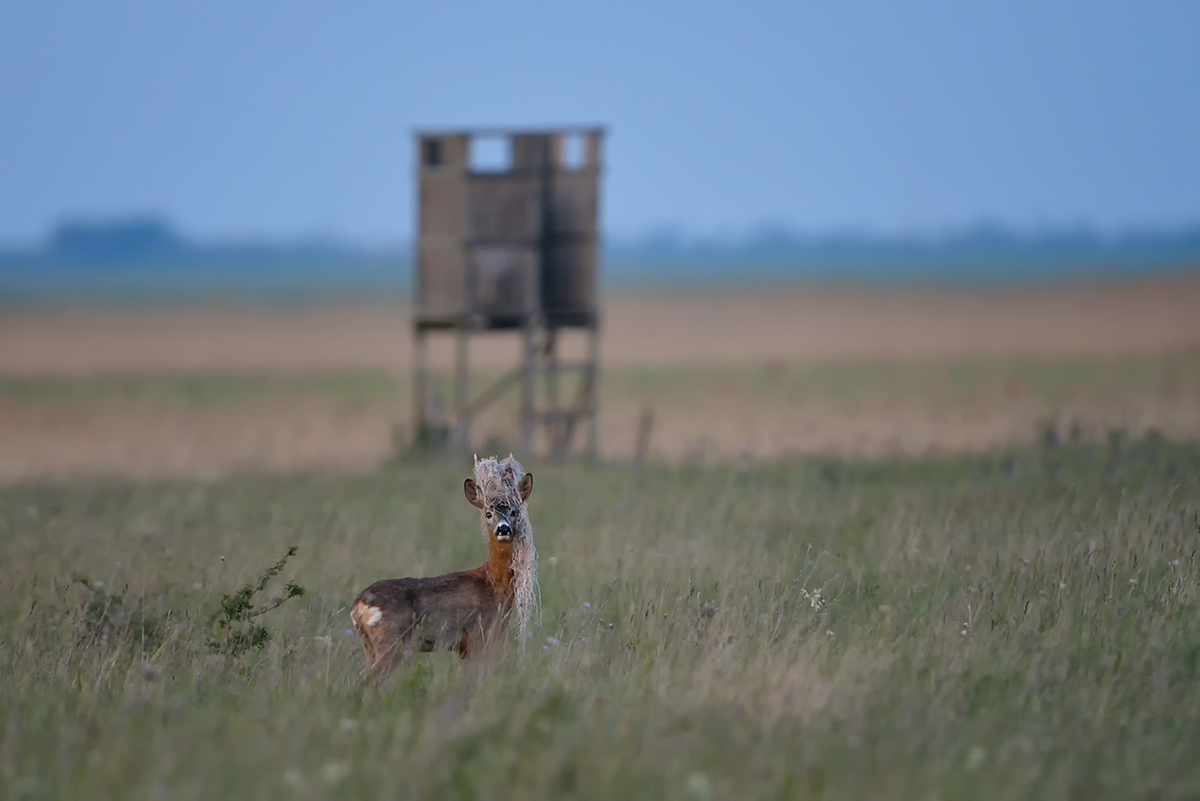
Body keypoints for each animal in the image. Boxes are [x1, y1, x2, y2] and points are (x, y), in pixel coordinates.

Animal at [348, 455, 535, 681]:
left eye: (514, 511)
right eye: (488, 513)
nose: (503, 529)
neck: (494, 582)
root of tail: (359, 606)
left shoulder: (465, 647)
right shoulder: (482, 636)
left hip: (370, 645)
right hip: (391, 641)